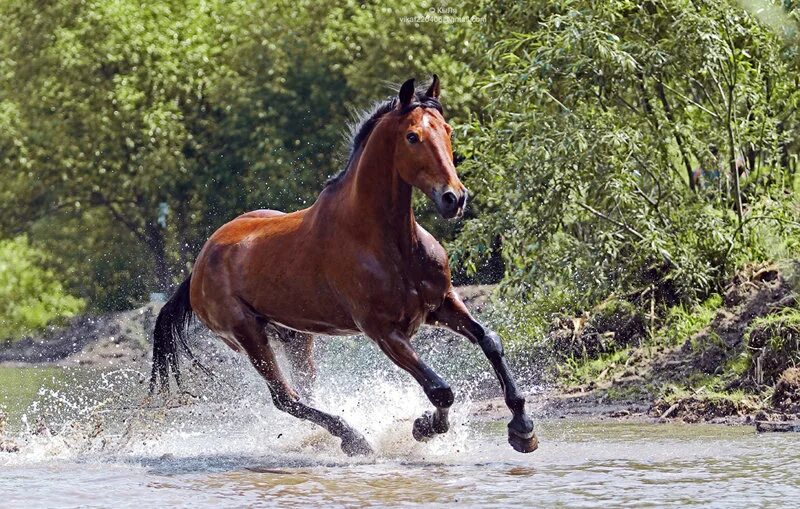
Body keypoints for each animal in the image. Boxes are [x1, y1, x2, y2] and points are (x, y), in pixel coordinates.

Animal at [150, 76, 536, 456]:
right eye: (412, 136)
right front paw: (425, 427)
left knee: (305, 390)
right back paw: (354, 439)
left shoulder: (441, 303)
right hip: (248, 336)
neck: (387, 243)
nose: (454, 198)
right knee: (285, 398)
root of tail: (199, 265)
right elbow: (440, 389)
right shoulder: (383, 331)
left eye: (447, 129)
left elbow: (490, 341)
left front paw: (522, 428)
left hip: (294, 336)